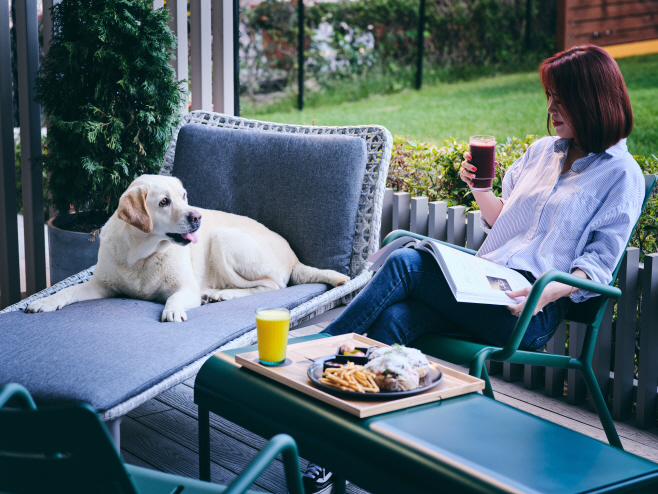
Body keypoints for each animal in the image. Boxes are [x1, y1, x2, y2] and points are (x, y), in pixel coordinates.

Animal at [24, 176, 348, 322]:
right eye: (164, 202)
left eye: (183, 196)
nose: (197, 217)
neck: (141, 255)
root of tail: (294, 258)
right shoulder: (101, 285)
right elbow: (68, 291)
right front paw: (46, 301)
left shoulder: (186, 288)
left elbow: (175, 298)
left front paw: (173, 310)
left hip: (223, 237)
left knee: (271, 286)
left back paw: (221, 294)